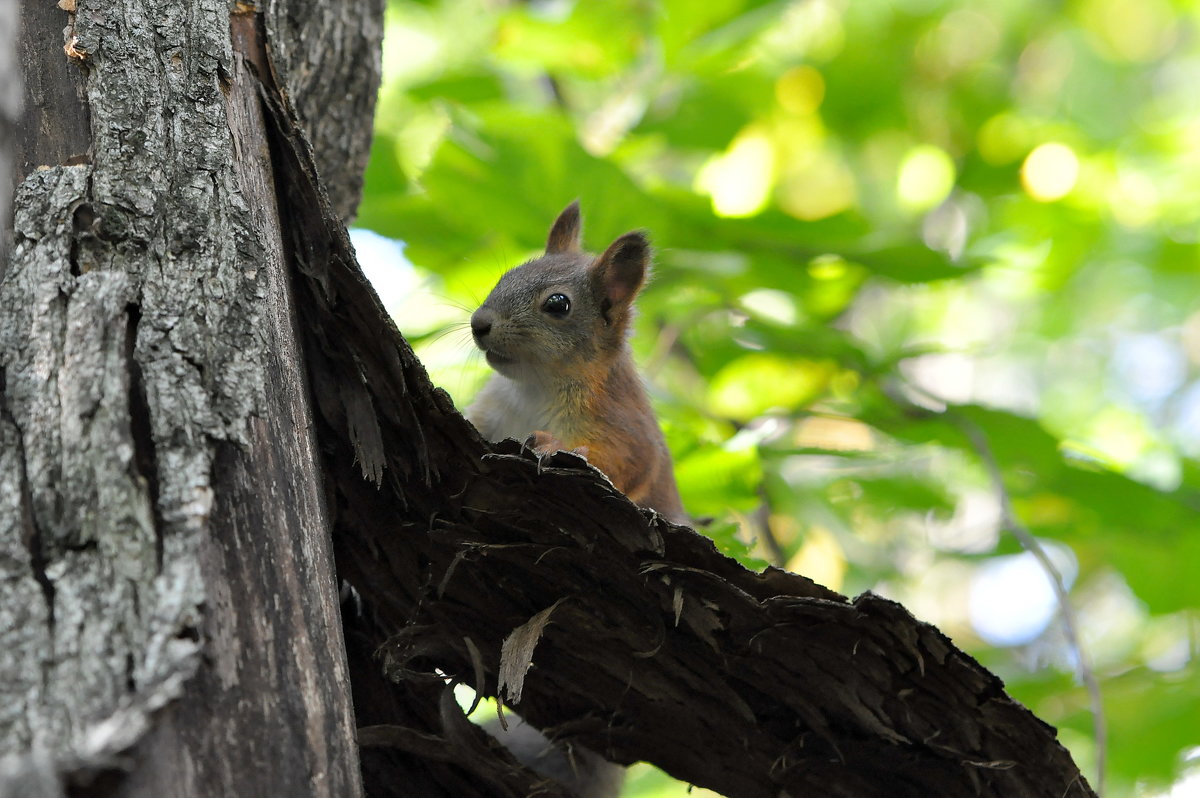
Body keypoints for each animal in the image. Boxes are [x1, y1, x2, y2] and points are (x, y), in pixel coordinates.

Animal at [470, 199, 696, 525]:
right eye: (506, 277)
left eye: (558, 304)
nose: (478, 323)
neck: (534, 385)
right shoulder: (489, 410)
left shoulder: (622, 423)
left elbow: (627, 462)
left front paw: (552, 445)